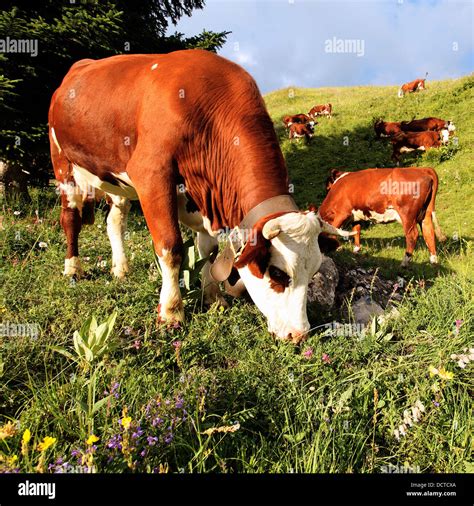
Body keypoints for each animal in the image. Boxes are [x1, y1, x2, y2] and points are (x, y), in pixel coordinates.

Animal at [49, 49, 352, 344]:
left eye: (313, 272)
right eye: (278, 272)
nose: (298, 335)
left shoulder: (203, 198)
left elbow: (208, 250)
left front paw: (214, 298)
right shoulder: (151, 175)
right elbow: (170, 247)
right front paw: (171, 312)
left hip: (115, 179)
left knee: (115, 222)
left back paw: (120, 268)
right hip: (63, 164)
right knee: (70, 219)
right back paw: (73, 268)